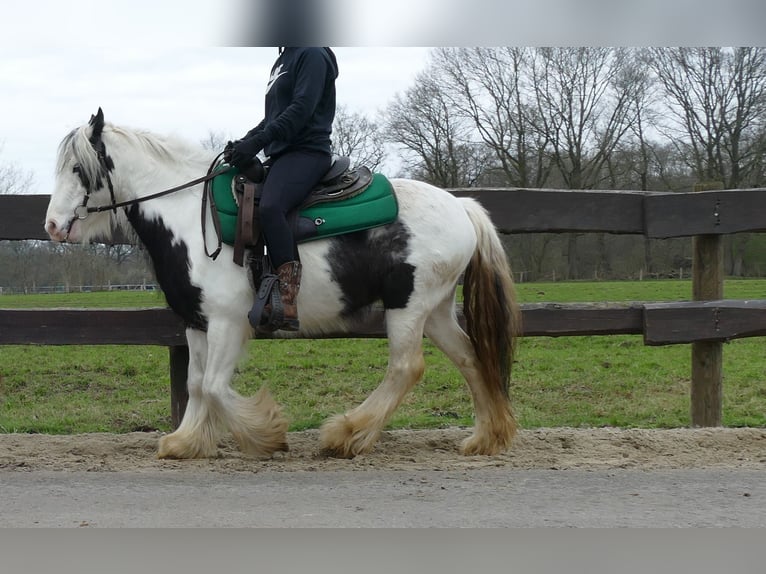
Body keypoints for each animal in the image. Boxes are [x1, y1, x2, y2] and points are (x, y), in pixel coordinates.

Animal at [42, 107, 520, 460]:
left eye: (78, 168)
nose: (52, 226)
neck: (191, 217)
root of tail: (462, 206)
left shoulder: (228, 322)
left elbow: (215, 386)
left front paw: (265, 435)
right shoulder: (197, 323)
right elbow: (197, 384)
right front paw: (186, 441)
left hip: (408, 305)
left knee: (405, 367)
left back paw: (345, 434)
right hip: (434, 309)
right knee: (470, 357)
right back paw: (485, 437)